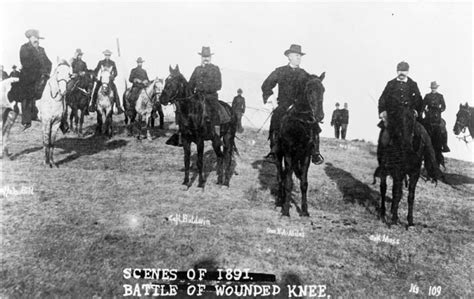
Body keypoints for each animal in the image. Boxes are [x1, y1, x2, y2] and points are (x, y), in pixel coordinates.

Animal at [276, 73, 324, 218]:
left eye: (323, 90)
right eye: (310, 91)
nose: (320, 116)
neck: (299, 124)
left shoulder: (305, 156)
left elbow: (304, 183)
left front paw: (305, 210)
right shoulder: (288, 155)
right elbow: (288, 182)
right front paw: (286, 210)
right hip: (279, 155)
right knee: (281, 175)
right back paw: (279, 200)